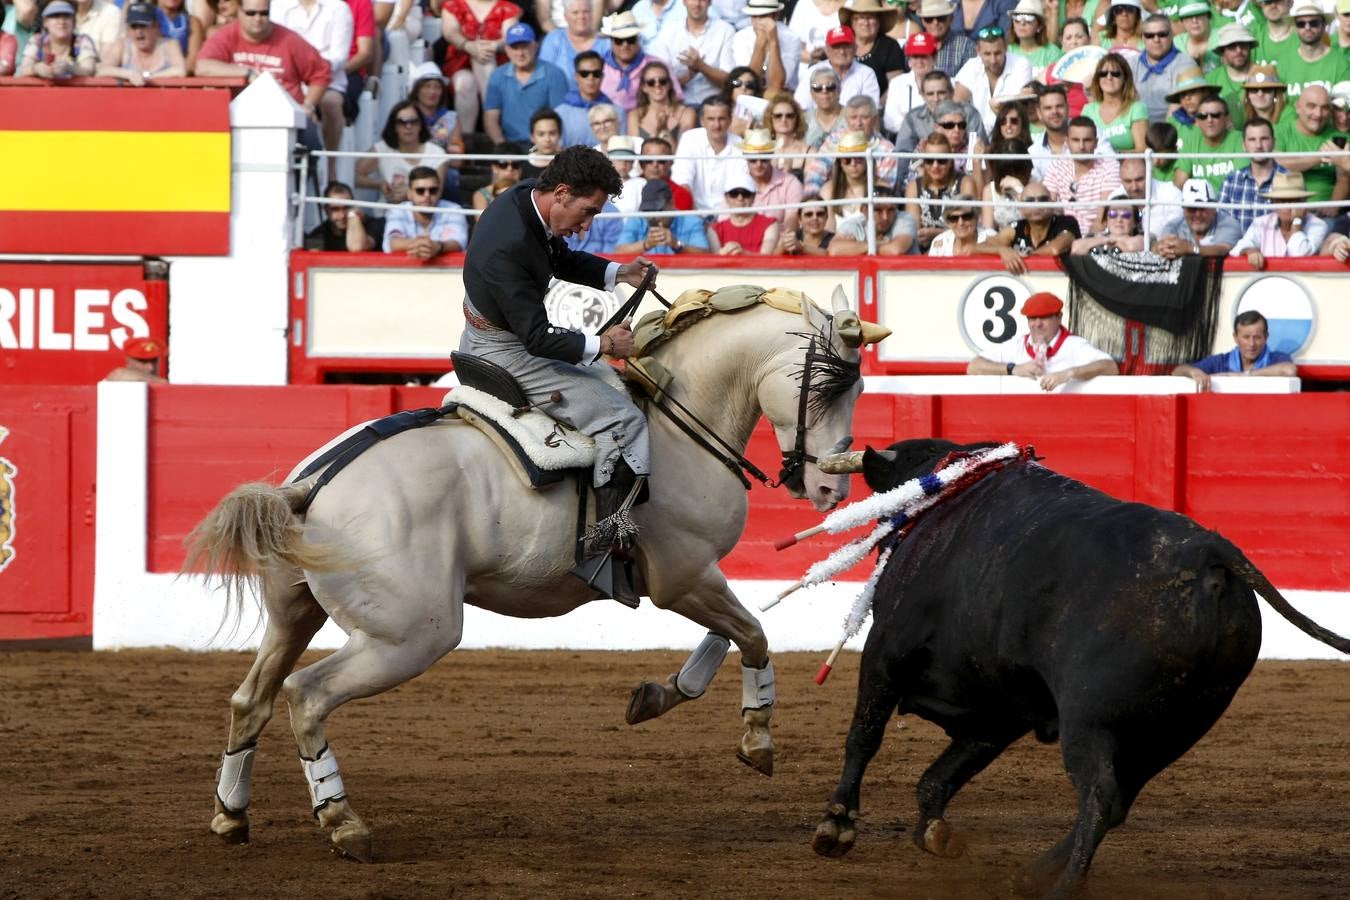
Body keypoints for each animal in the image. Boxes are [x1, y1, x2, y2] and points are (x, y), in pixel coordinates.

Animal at [187, 287, 885, 858]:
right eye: (825, 386)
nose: (830, 488)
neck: (676, 420)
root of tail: (310, 487)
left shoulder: (698, 576)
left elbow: (738, 629)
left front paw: (658, 695)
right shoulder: (683, 577)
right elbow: (754, 633)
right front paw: (756, 738)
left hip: (295, 615)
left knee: (252, 698)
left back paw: (231, 816)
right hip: (411, 636)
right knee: (306, 695)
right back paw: (343, 824)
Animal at [810, 439, 1350, 895]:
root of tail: (1209, 552)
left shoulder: (886, 652)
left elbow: (864, 736)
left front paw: (836, 825)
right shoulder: (1001, 711)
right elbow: (940, 776)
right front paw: (935, 834)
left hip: (1090, 720)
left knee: (1100, 796)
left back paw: (1062, 886)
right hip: (1172, 729)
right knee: (1116, 802)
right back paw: (1031, 875)